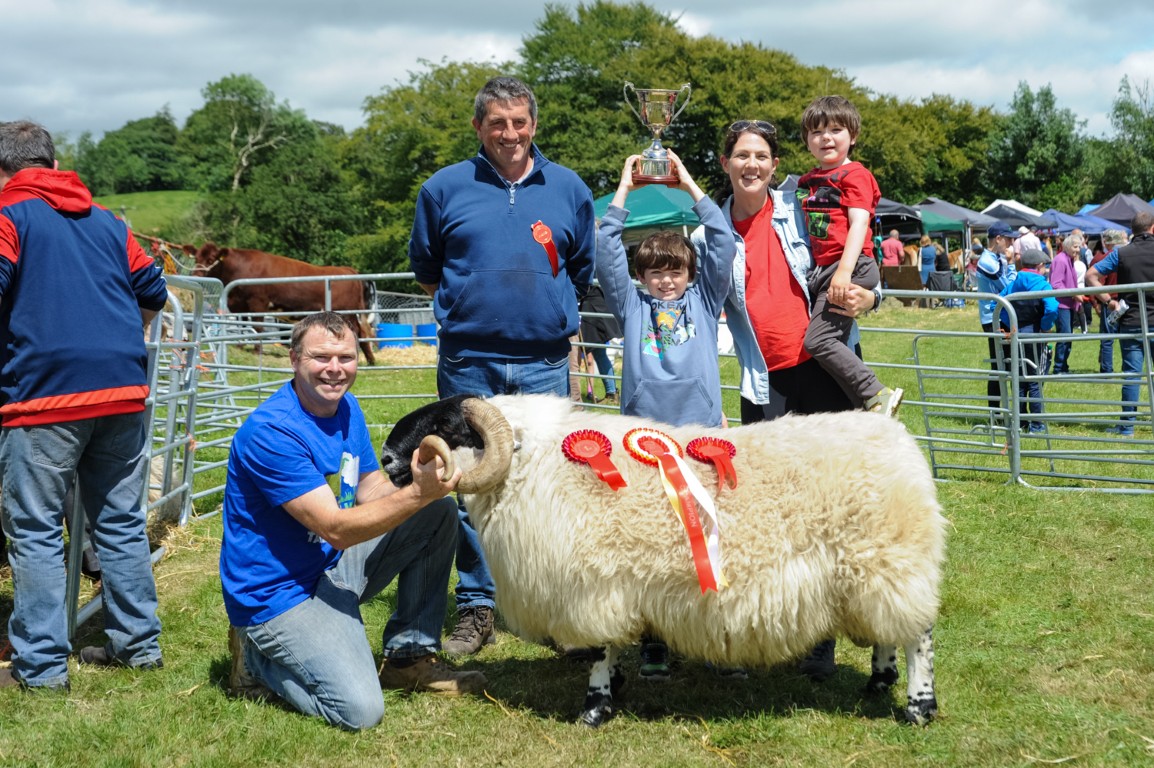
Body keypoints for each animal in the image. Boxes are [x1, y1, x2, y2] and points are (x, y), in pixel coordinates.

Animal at [189, 243, 377, 364]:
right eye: (196, 257)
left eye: (211, 259)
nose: (197, 276)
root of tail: (347, 269)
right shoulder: (237, 304)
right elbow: (241, 325)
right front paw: (240, 345)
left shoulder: (258, 302)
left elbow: (258, 326)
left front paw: (257, 350)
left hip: (348, 312)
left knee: (360, 332)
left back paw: (370, 361)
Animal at [384, 394, 946, 728]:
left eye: (448, 423)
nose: (387, 457)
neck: (532, 467)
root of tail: (898, 436)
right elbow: (609, 647)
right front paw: (616, 687)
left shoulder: (593, 586)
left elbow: (599, 649)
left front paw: (595, 708)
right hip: (872, 568)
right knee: (890, 632)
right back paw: (878, 683)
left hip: (893, 558)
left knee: (918, 635)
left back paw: (918, 706)